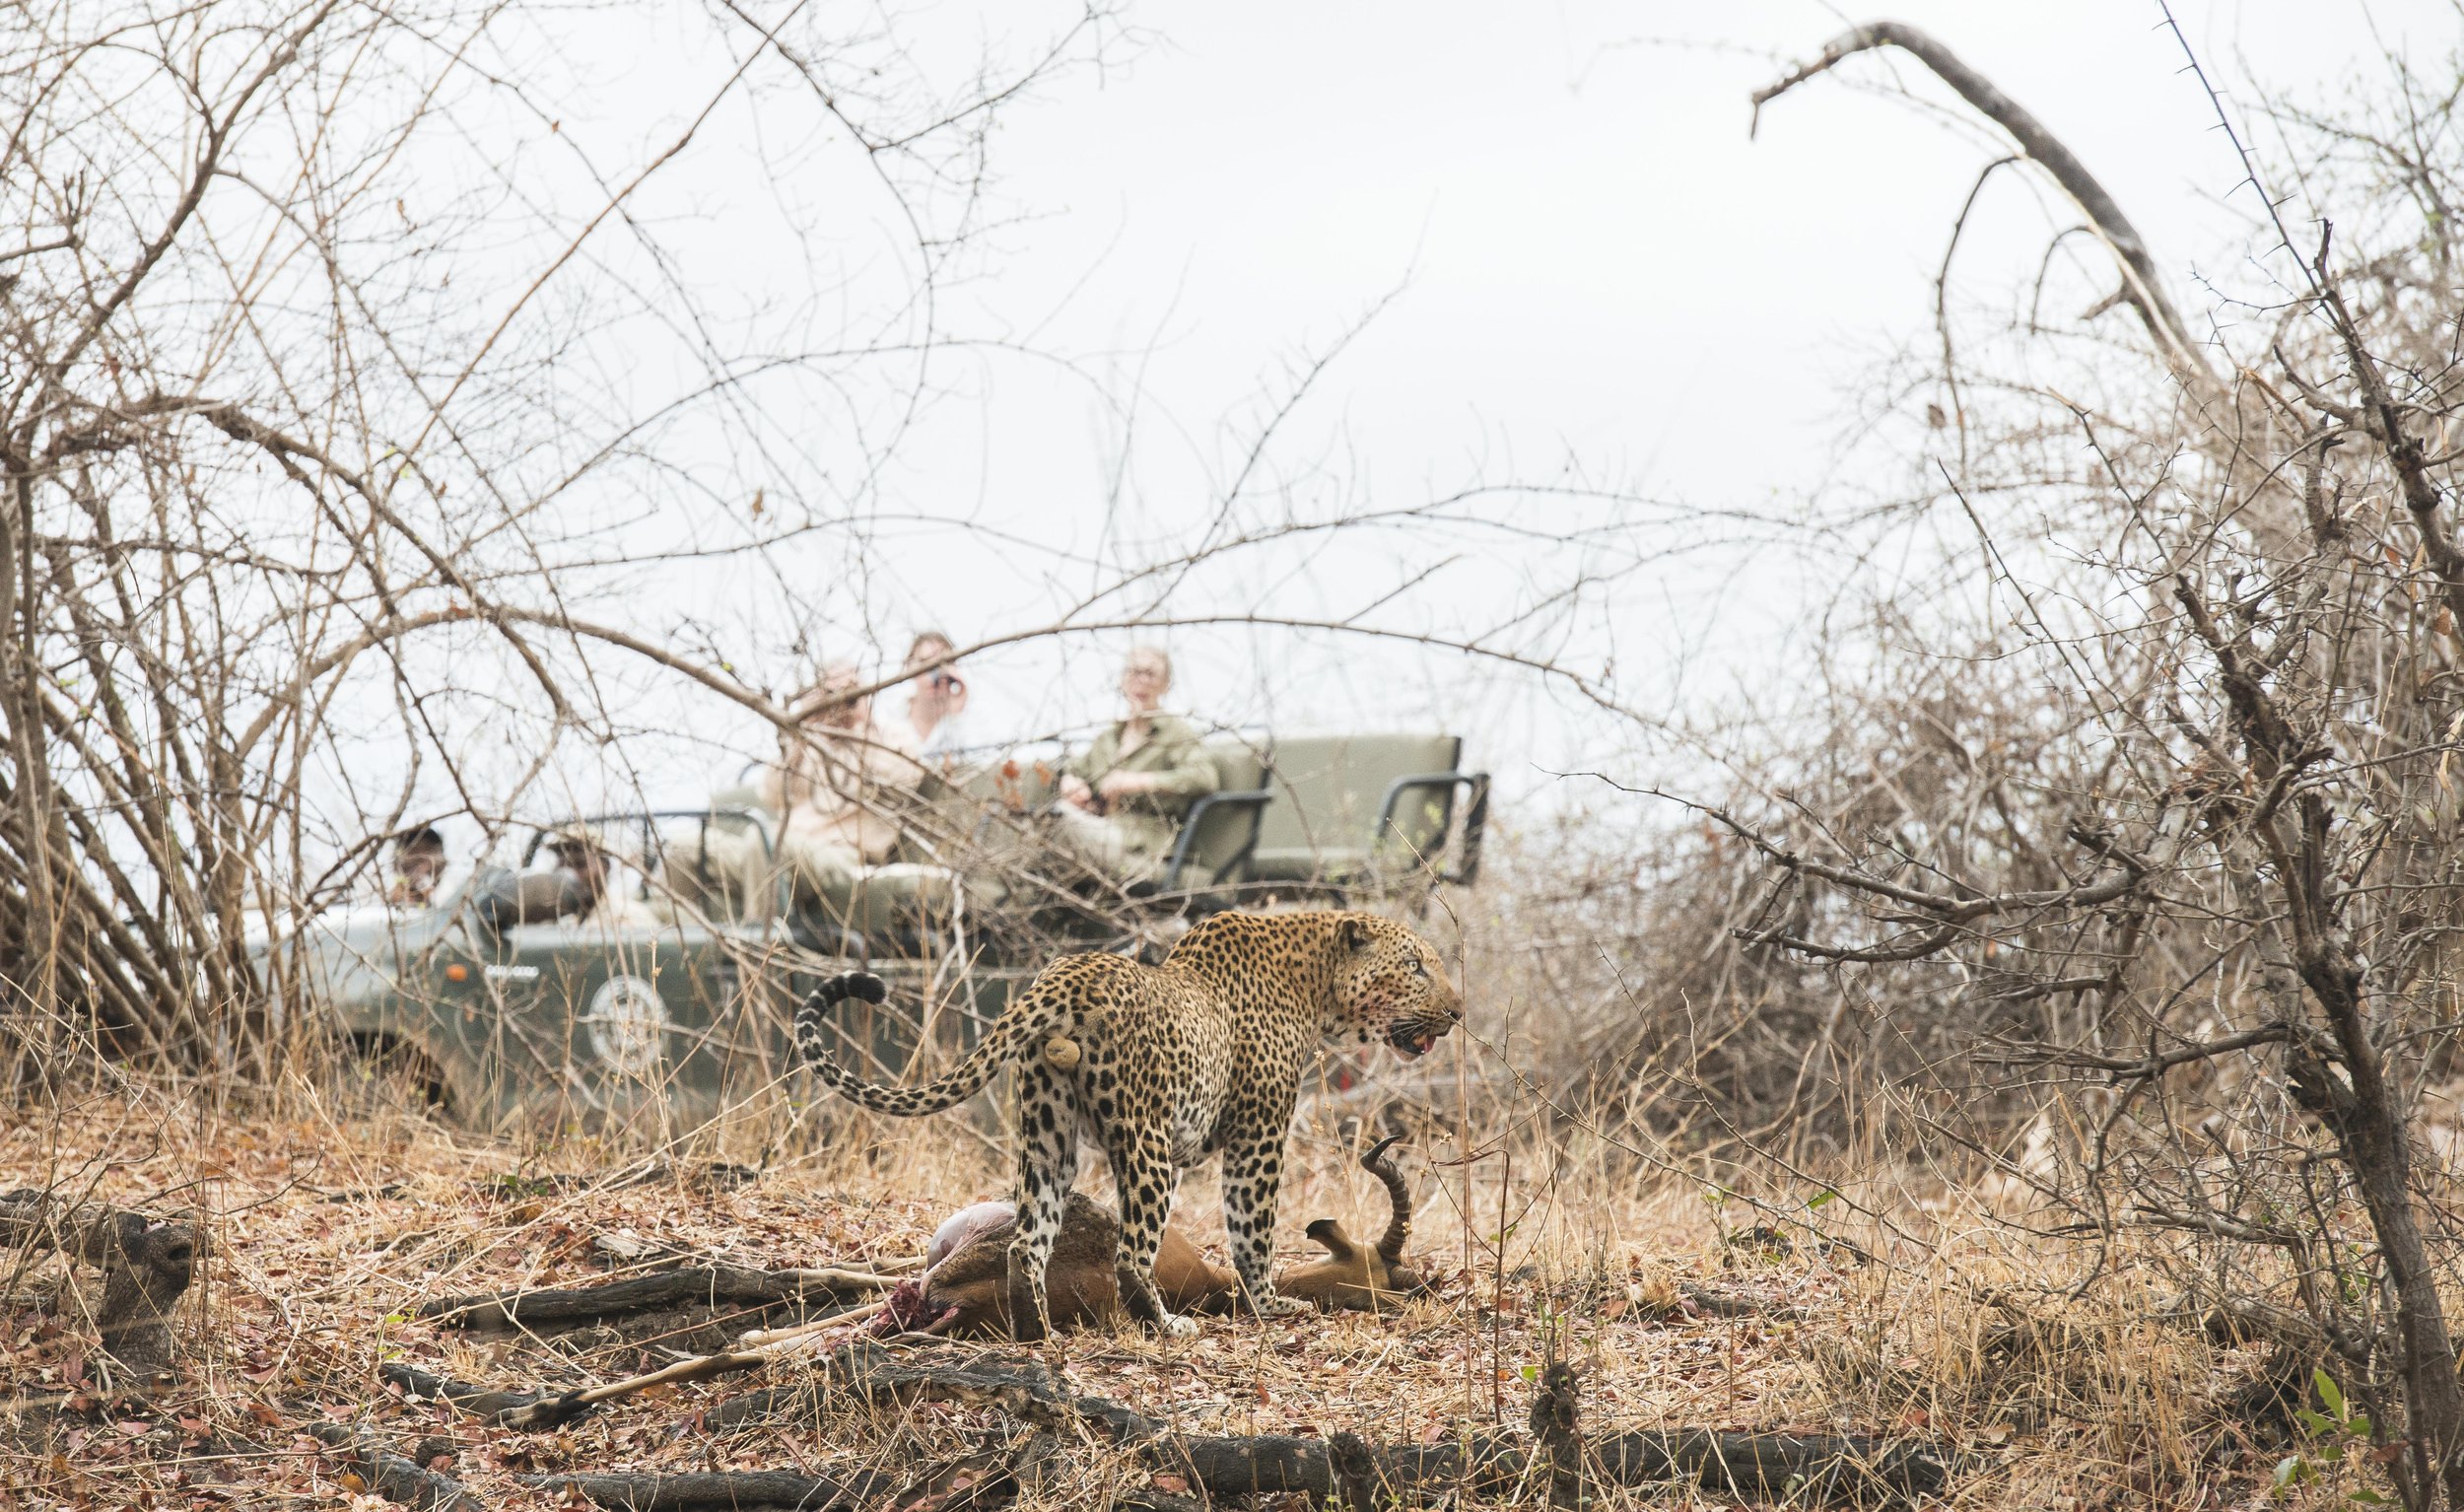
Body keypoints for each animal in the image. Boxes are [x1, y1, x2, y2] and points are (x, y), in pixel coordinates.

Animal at [794, 909, 1461, 1338]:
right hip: (1146, 1143)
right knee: (1130, 1253)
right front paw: (1270, 1306)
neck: (1317, 984)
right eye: (1415, 966)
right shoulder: (1259, 1134)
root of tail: (1062, 977)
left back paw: (1038, 1335)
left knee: (1027, 1244)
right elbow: (1253, 1229)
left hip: (1048, 1137)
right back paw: (1166, 1325)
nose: (1457, 1011)